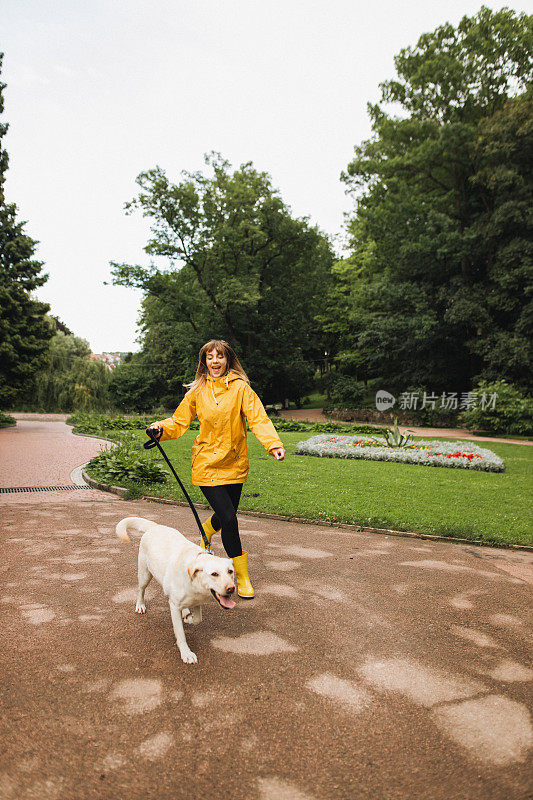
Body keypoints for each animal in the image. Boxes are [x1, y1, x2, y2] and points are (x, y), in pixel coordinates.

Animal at [117, 520, 236, 664]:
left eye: (230, 571)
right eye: (214, 574)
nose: (231, 588)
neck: (193, 583)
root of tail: (155, 526)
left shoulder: (197, 602)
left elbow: (198, 619)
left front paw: (189, 619)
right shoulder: (174, 606)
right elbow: (180, 633)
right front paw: (186, 653)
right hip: (145, 574)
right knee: (141, 590)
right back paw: (140, 605)